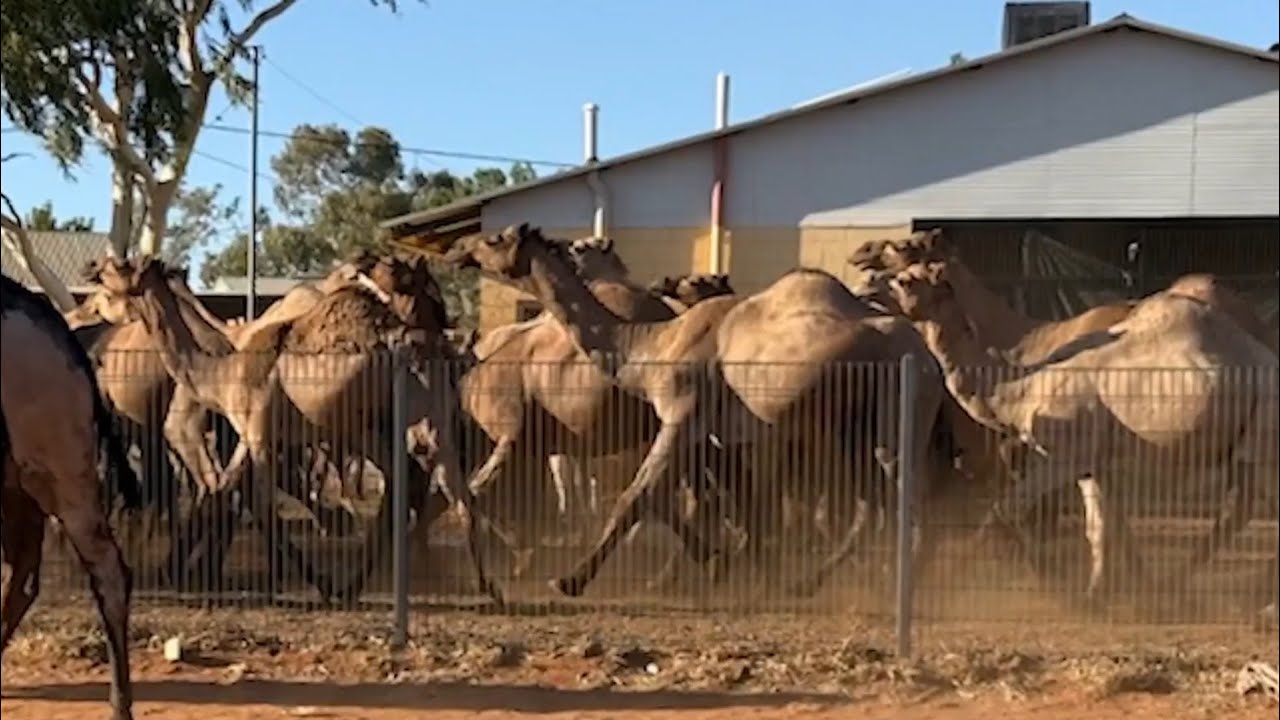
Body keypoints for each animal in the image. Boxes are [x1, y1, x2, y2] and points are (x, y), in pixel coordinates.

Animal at [427, 223, 947, 600]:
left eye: (495, 239)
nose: (457, 247)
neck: (649, 345)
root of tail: (928, 359)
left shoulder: (681, 414)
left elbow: (635, 496)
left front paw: (569, 581)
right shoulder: (723, 435)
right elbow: (745, 508)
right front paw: (753, 574)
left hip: (897, 413)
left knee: (907, 498)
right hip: (856, 427)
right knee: (871, 504)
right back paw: (813, 582)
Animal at [883, 261, 1278, 610]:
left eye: (906, 280)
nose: (874, 285)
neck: (1019, 386)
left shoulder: (1062, 456)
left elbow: (1005, 509)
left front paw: (943, 580)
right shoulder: (1091, 463)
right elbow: (1098, 527)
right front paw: (1093, 596)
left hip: (1265, 427)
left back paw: (1254, 606)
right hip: (1246, 444)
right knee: (1239, 507)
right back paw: (1178, 589)